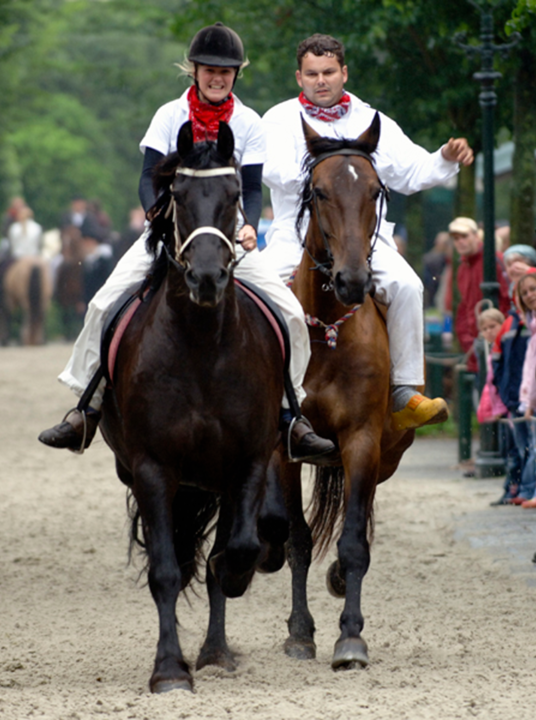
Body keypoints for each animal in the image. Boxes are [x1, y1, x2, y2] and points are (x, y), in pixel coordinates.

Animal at [99, 121, 286, 696]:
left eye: (233, 195)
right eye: (177, 196)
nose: (206, 278)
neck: (202, 343)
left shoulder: (247, 461)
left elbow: (238, 549)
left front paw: (239, 578)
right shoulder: (153, 469)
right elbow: (165, 570)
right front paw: (168, 671)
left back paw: (216, 651)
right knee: (177, 563)